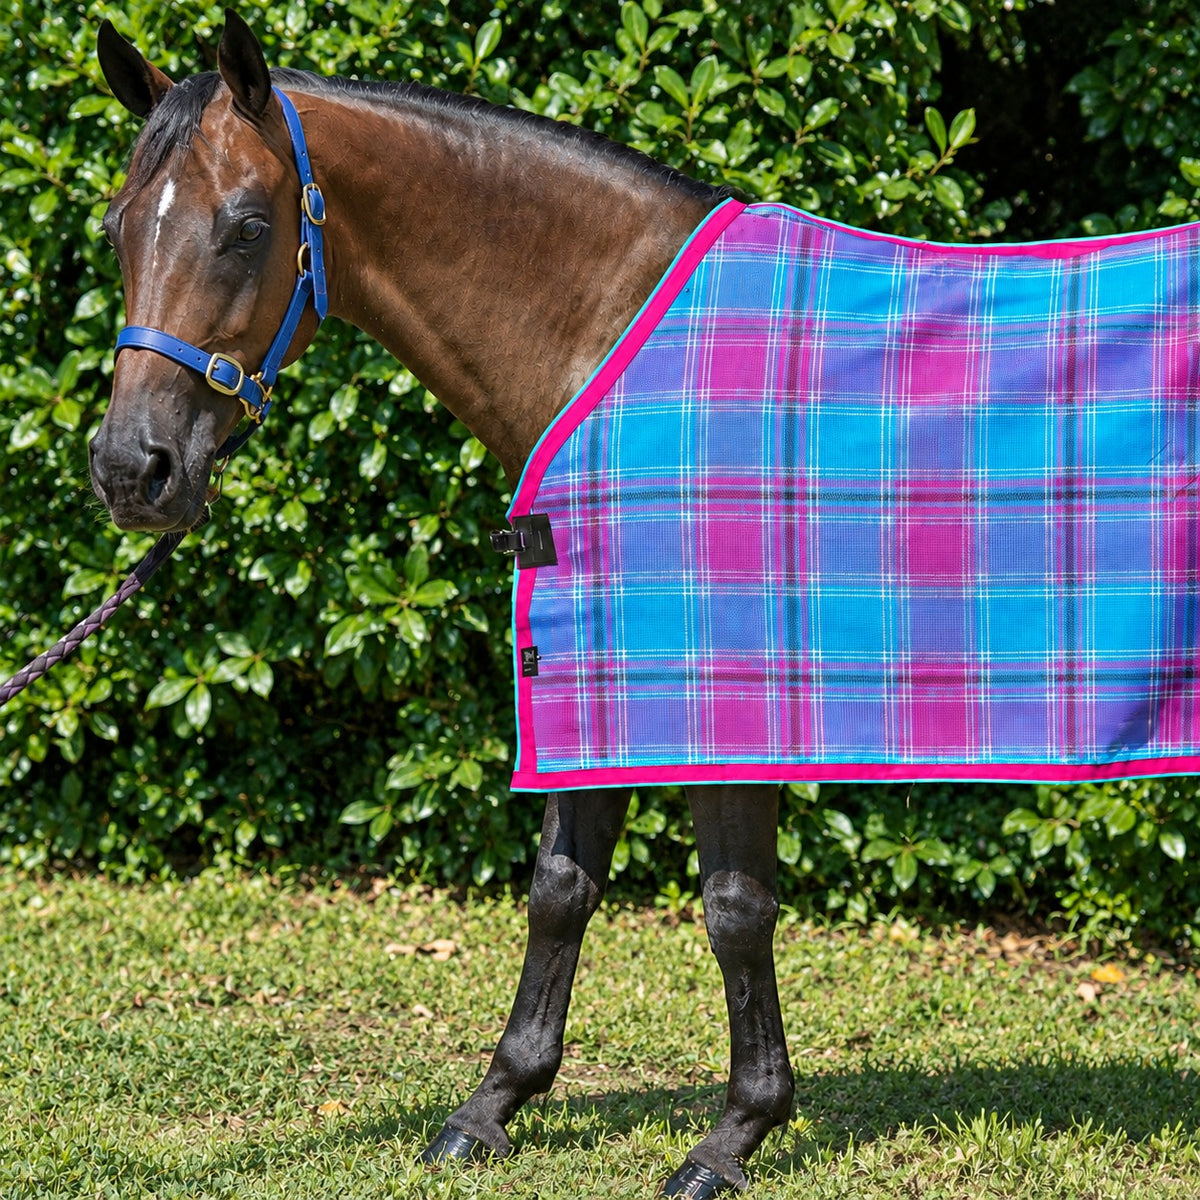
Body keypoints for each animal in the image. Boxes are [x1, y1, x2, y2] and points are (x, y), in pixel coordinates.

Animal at [93, 11, 790, 1196]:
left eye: (245, 229)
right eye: (117, 228)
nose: (131, 469)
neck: (618, 347)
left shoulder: (723, 690)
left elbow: (735, 908)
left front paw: (734, 1134)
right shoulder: (592, 663)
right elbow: (561, 884)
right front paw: (493, 1106)